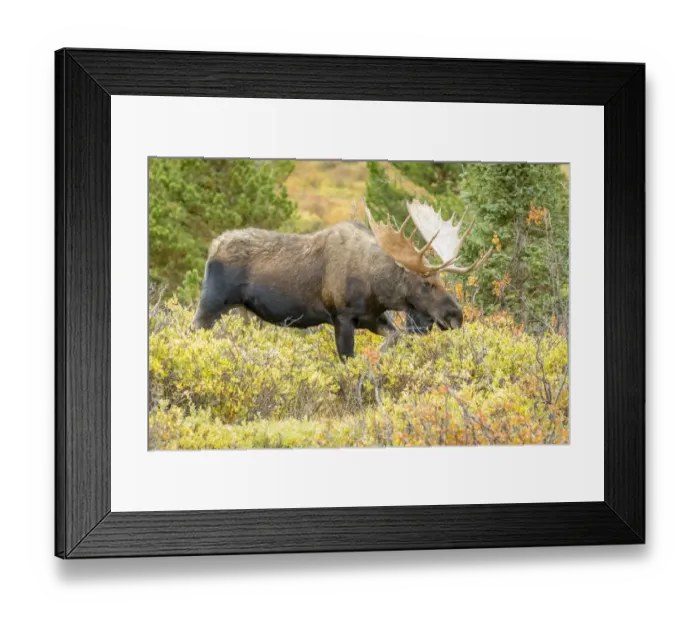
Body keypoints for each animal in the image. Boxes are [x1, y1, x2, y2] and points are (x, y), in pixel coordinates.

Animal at [192, 200, 494, 359]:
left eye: (442, 280)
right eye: (426, 283)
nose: (456, 316)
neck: (377, 290)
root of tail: (212, 247)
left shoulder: (373, 318)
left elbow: (396, 337)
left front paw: (378, 357)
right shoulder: (342, 317)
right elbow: (348, 360)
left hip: (242, 312)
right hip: (211, 304)